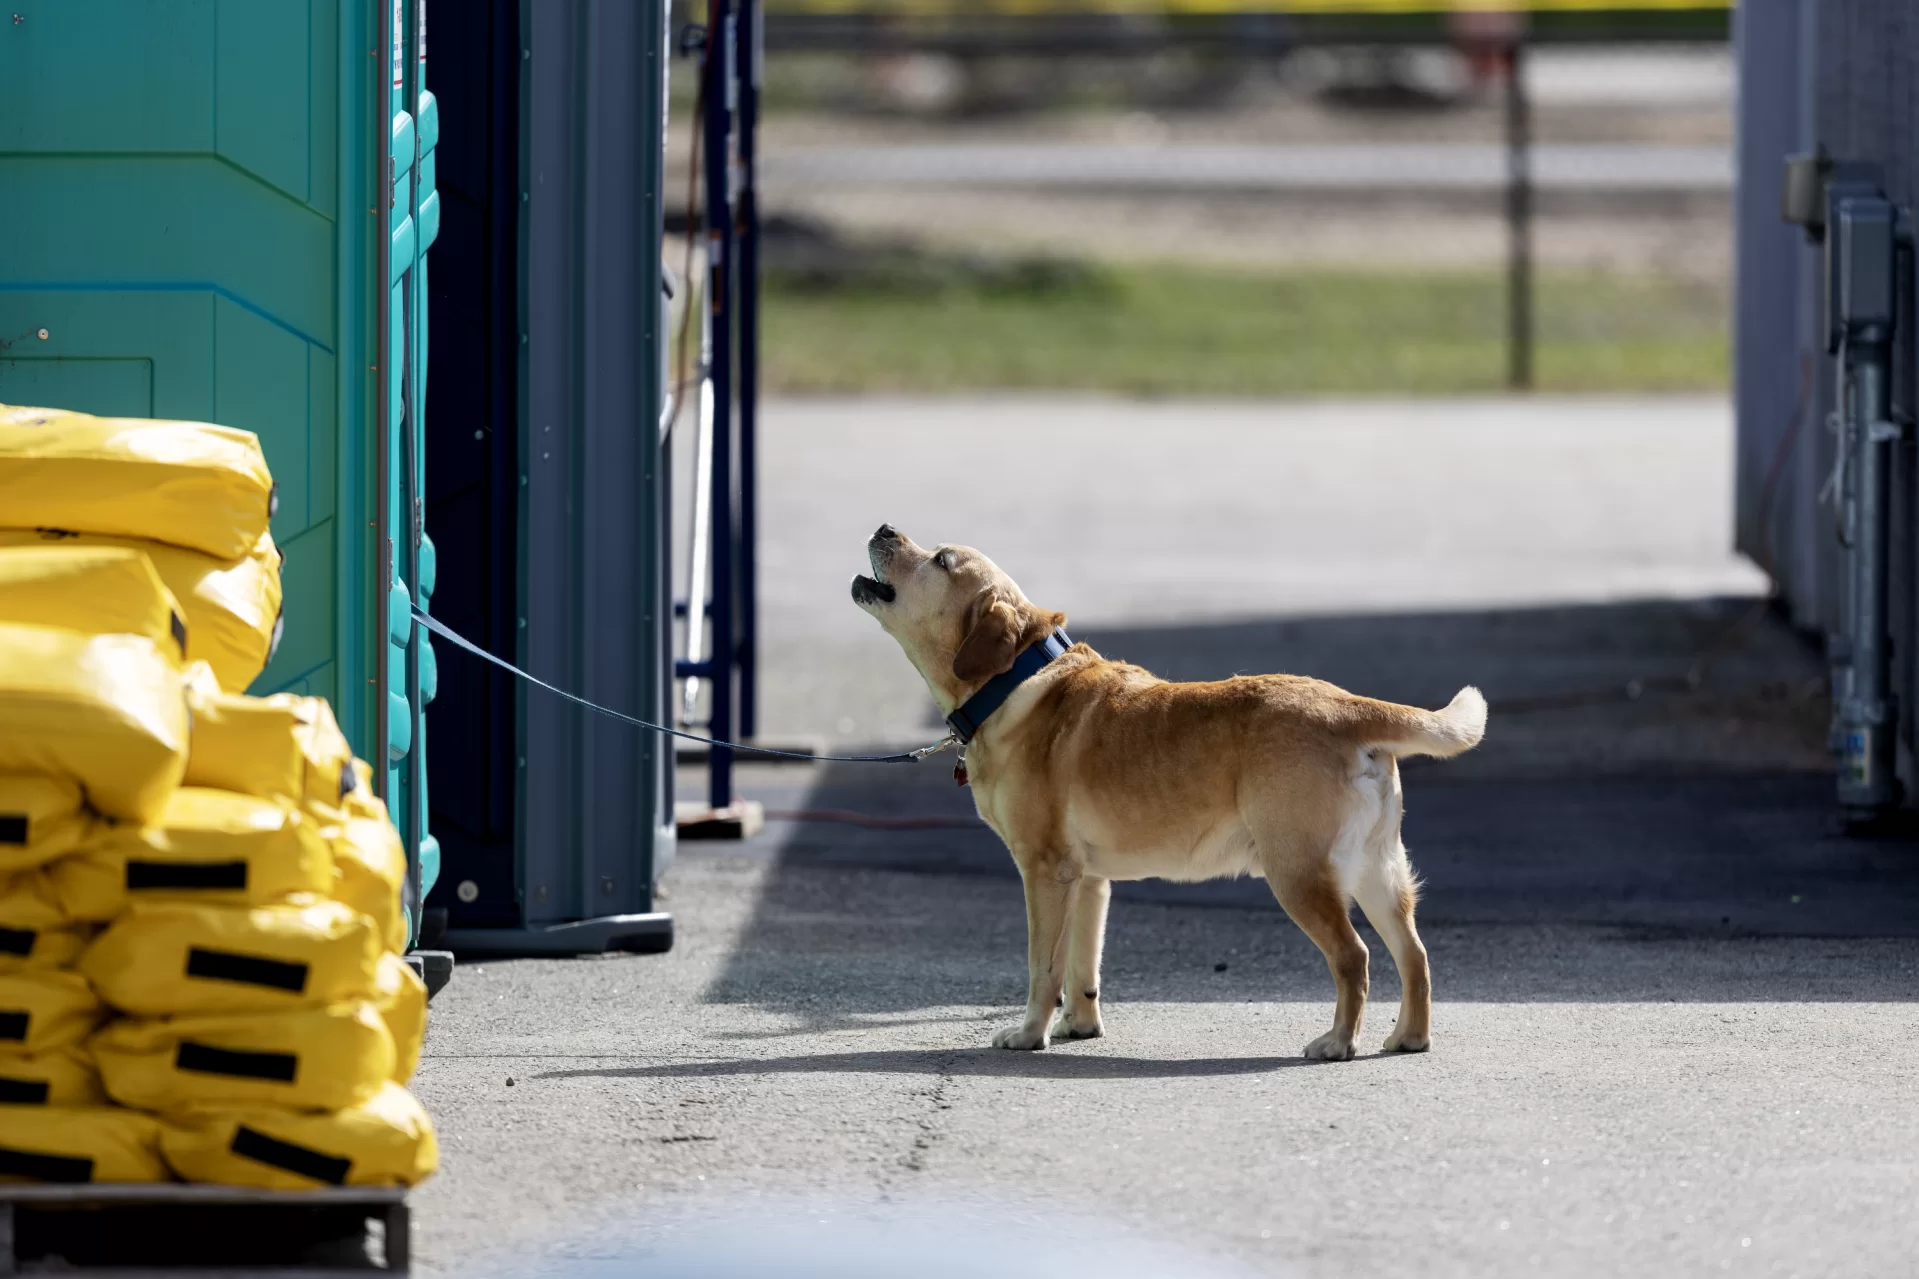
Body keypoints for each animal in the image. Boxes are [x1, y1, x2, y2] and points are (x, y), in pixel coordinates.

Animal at [848, 522, 1489, 1060]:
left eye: (941, 559)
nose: (883, 527)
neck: (1013, 680)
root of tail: (1350, 706)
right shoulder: (1087, 882)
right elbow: (1081, 966)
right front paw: (1079, 1026)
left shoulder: (1044, 872)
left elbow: (1043, 969)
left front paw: (1030, 1034)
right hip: (1377, 870)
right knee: (1414, 955)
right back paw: (1408, 1037)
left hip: (1299, 872)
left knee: (1353, 957)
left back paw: (1337, 1042)